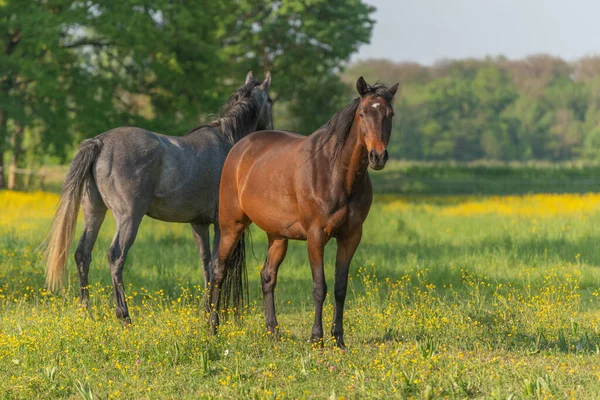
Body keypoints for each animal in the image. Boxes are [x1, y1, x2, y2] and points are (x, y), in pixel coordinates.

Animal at [45, 70, 274, 324]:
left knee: (83, 255)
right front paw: (211, 315)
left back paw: (87, 312)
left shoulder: (199, 223)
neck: (227, 142)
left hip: (94, 212)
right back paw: (124, 316)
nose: (272, 129)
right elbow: (216, 264)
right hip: (129, 218)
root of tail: (100, 142)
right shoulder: (219, 225)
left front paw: (205, 310)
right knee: (115, 257)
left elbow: (205, 263)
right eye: (271, 101)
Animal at [209, 77, 396, 346]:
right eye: (362, 113)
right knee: (218, 271)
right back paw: (213, 328)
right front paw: (316, 338)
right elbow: (319, 287)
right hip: (230, 227)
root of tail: (239, 149)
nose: (378, 156)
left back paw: (273, 332)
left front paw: (339, 339)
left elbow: (340, 288)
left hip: (277, 236)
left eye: (390, 114)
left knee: (267, 276)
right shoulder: (316, 237)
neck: (334, 172)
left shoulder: (350, 237)